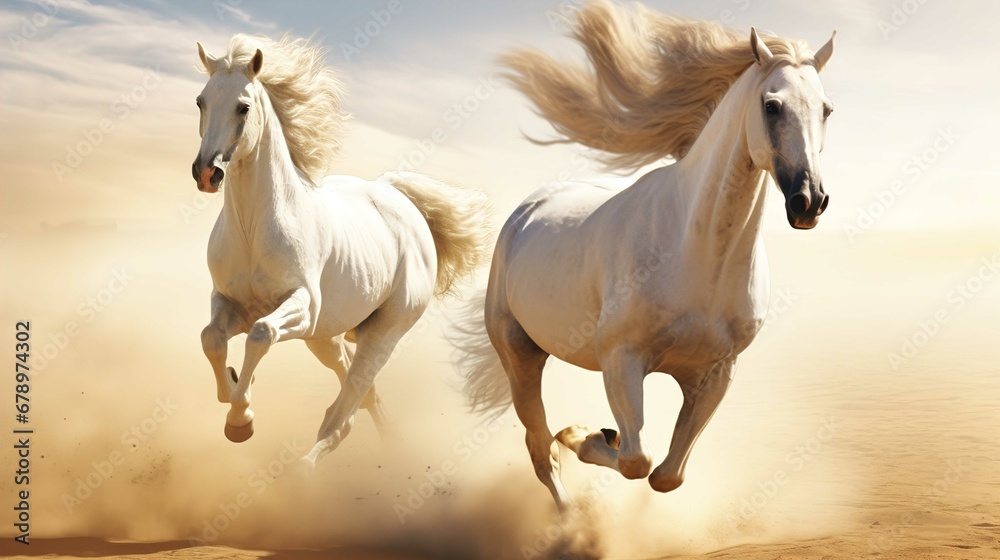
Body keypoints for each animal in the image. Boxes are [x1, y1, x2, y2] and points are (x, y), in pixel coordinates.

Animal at [192, 34, 491, 470]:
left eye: (243, 106)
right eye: (201, 101)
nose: (206, 173)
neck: (252, 231)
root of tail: (401, 198)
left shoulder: (300, 306)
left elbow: (261, 335)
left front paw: (240, 419)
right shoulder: (230, 303)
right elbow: (211, 339)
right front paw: (236, 399)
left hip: (382, 333)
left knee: (347, 405)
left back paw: (307, 467)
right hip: (325, 337)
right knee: (361, 394)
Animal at [450, 1, 835, 509]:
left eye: (827, 110)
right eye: (772, 105)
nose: (809, 201)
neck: (697, 257)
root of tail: (524, 213)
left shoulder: (715, 374)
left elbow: (668, 475)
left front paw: (596, 436)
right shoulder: (622, 359)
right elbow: (636, 459)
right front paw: (587, 435)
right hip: (519, 354)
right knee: (539, 449)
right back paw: (568, 513)